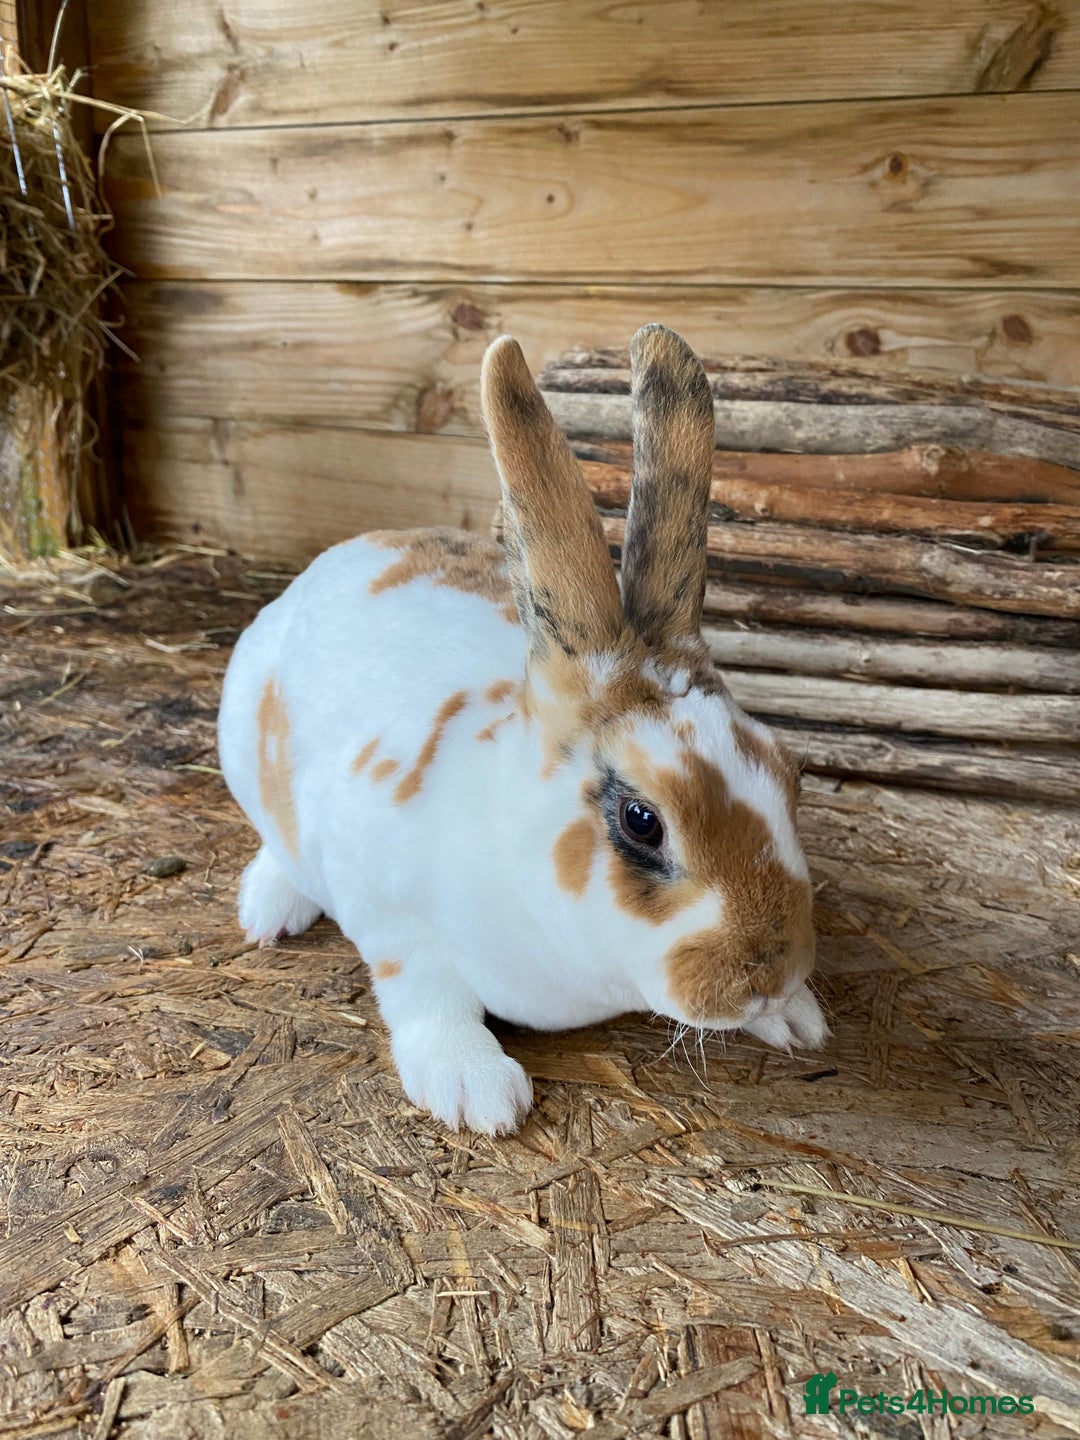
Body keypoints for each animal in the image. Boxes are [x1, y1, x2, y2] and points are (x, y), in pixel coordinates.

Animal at [218, 324, 827, 1135]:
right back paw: (267, 911)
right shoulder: (391, 915)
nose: (770, 975)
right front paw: (477, 1091)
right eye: (642, 821)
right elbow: (426, 996)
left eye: (792, 773)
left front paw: (796, 1020)